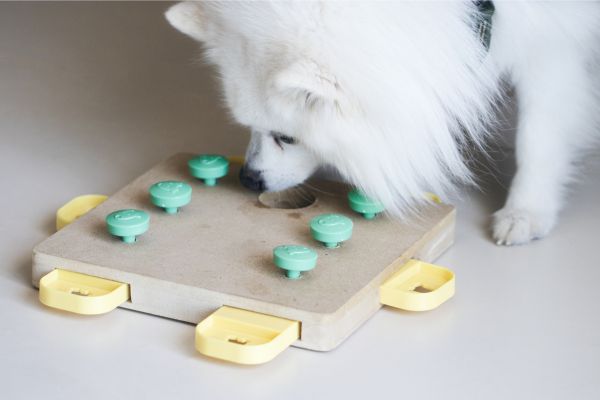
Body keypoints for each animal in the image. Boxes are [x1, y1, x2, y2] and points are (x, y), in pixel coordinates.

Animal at [165, 0, 600, 244]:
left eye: (287, 137)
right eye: (247, 126)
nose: (247, 180)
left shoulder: (549, 47)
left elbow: (538, 139)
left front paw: (526, 211)